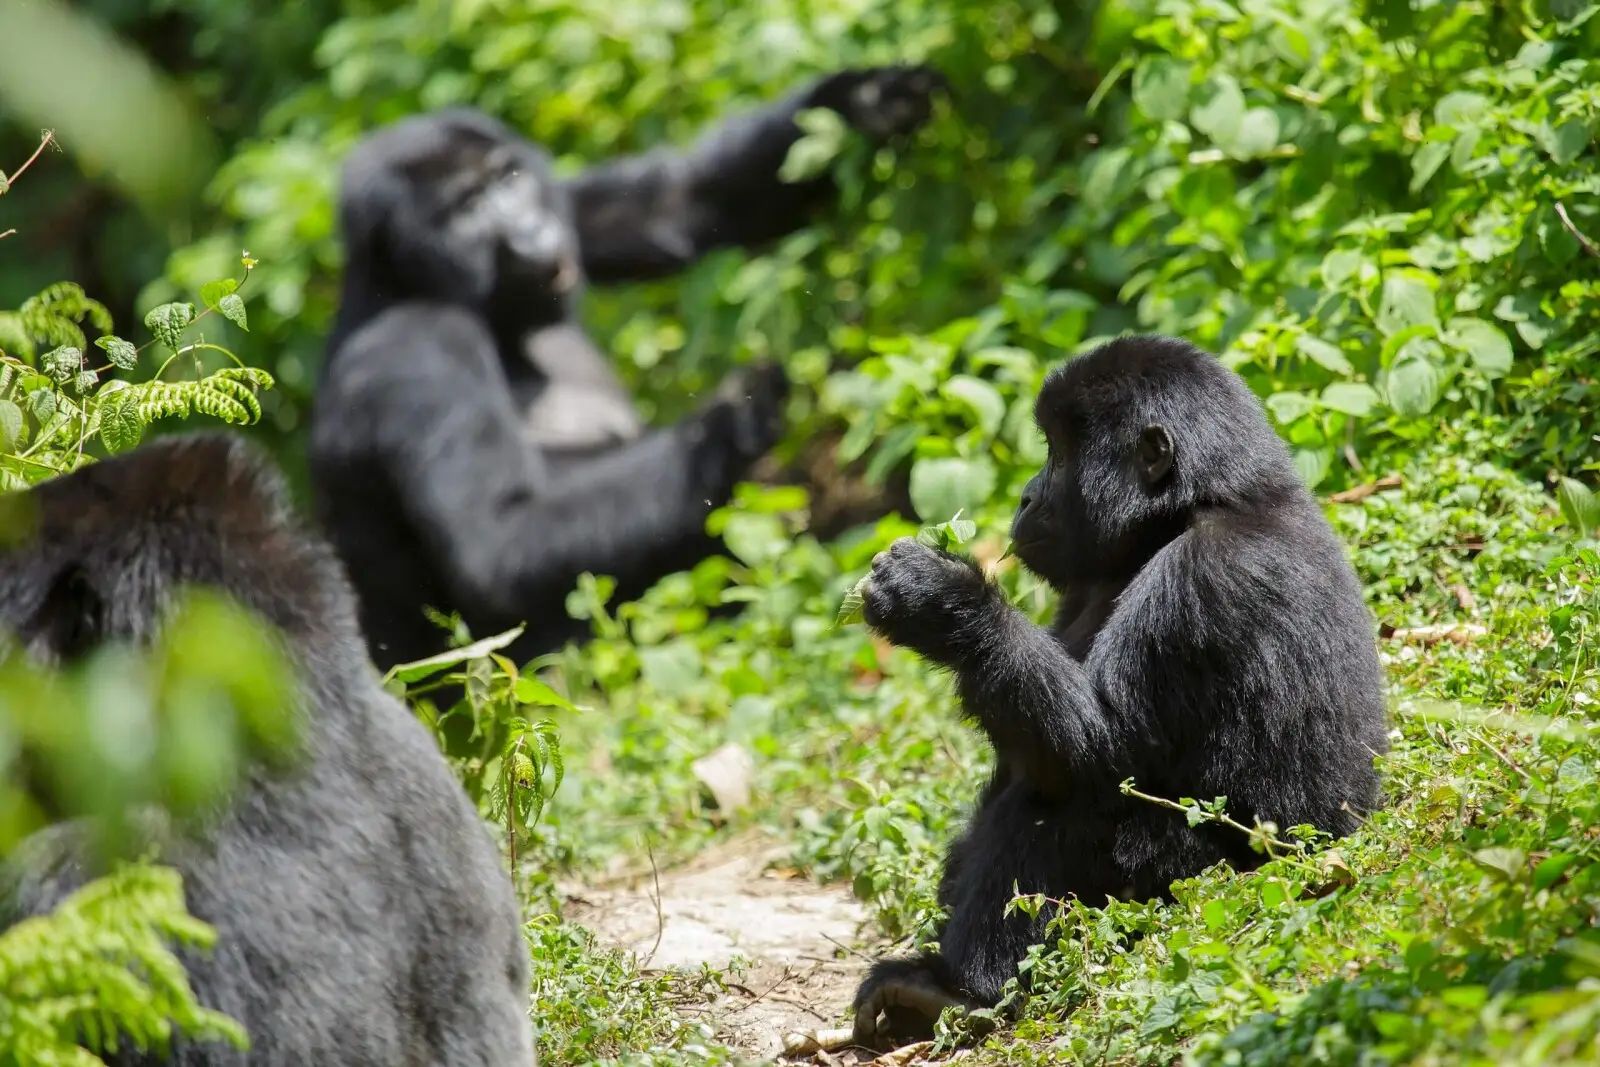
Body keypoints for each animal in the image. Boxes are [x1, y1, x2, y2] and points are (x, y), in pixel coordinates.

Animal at [305, 66, 940, 668]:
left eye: (508, 180)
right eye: (466, 209)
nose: (529, 233)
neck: (404, 278)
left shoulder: (570, 203)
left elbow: (681, 200)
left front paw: (865, 100)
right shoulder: (417, 349)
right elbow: (497, 545)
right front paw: (730, 425)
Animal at [851, 337, 1388, 1049]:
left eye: (1058, 454)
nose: (1024, 497)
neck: (1200, 504)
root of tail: (1342, 840)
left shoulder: (1203, 575)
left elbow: (1095, 757)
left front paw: (941, 604)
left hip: (1216, 880)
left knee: (1061, 807)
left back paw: (962, 995)